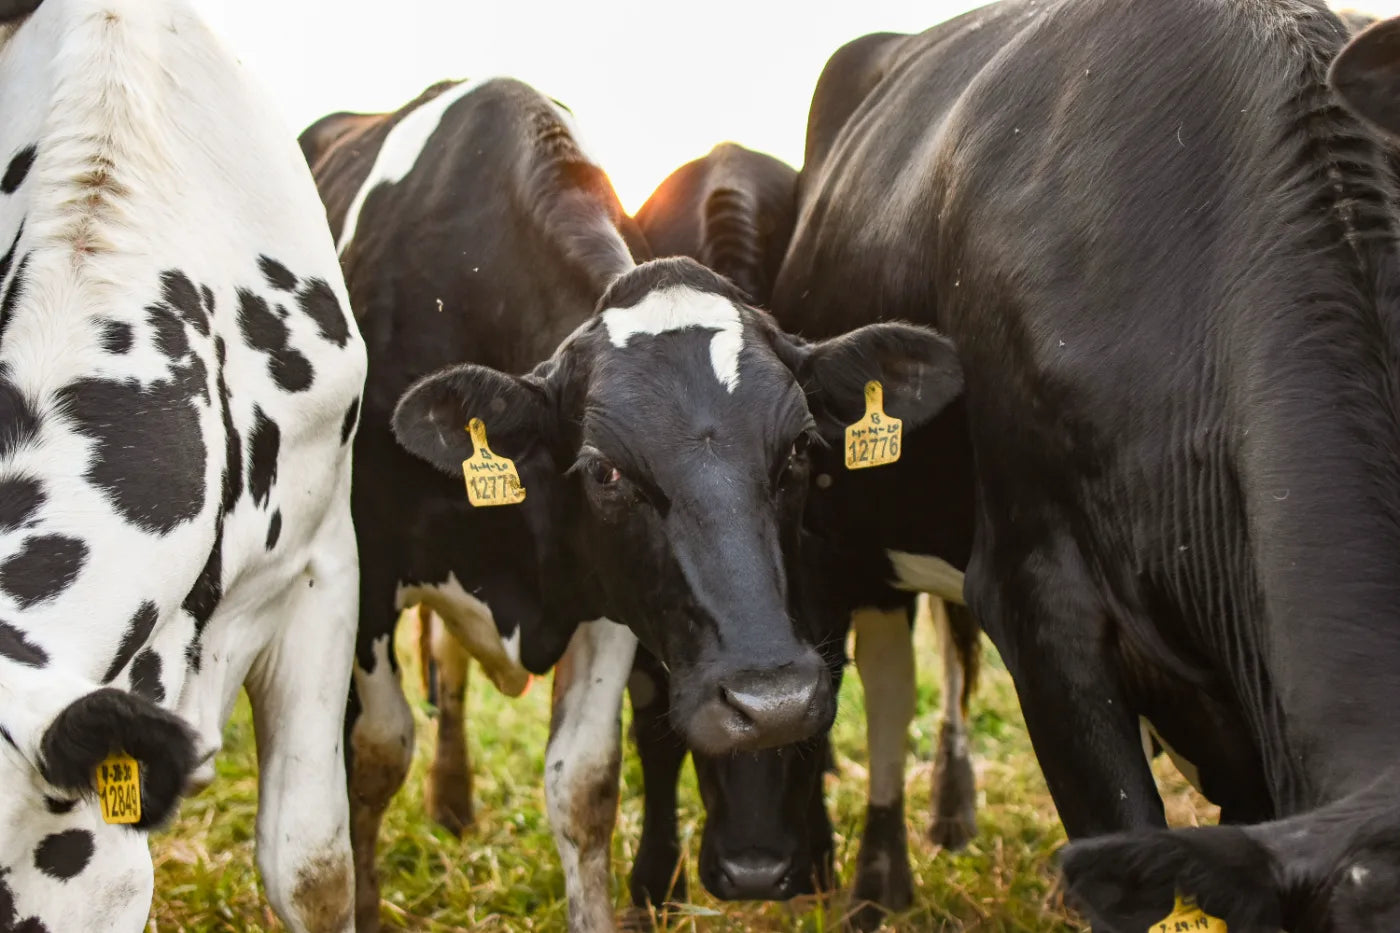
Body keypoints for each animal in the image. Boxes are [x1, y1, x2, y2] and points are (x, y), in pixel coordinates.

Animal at [301, 79, 962, 932]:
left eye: (799, 450)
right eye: (605, 471)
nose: (773, 700)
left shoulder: (613, 596)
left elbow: (584, 782)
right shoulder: (365, 571)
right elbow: (376, 753)